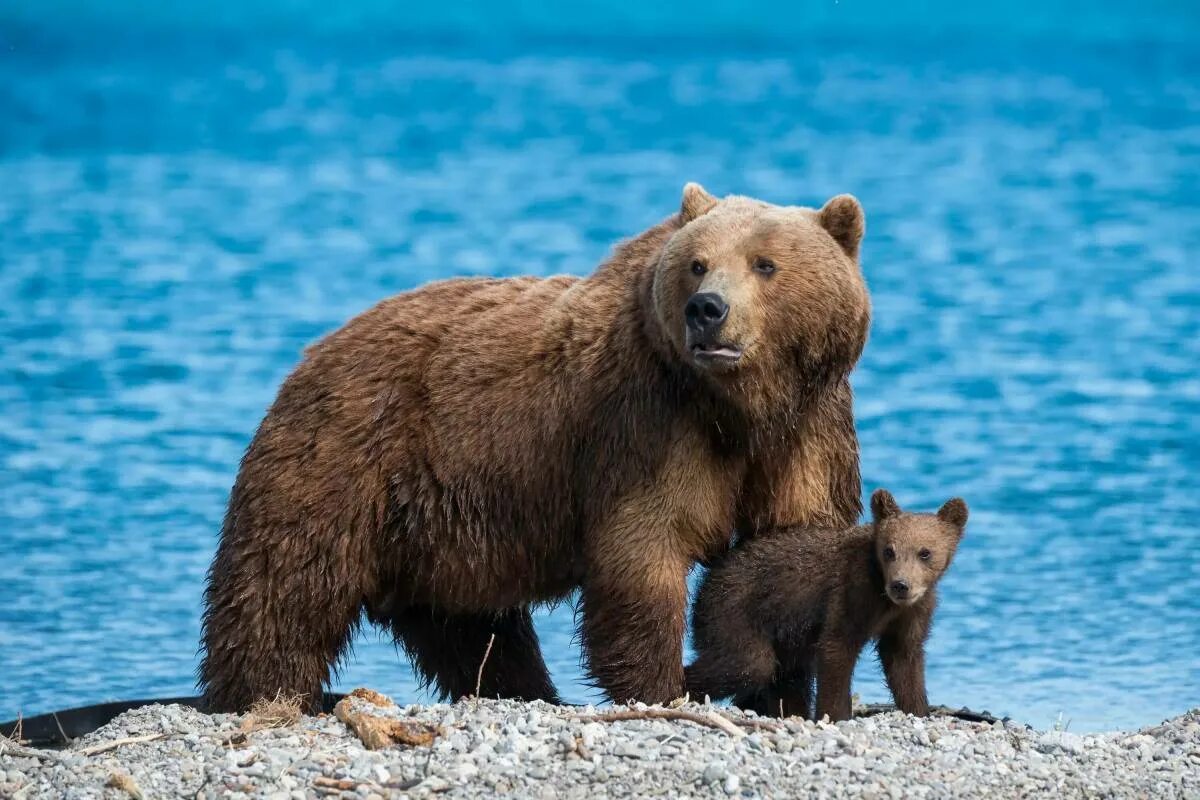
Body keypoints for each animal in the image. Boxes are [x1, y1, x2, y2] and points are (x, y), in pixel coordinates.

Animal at [196, 183, 873, 714]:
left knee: (469, 627)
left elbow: (789, 547)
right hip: (343, 459)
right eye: (698, 264)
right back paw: (262, 693)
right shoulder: (647, 424)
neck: (740, 406)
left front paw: (783, 691)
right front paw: (661, 686)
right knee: (285, 589)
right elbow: (646, 550)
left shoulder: (810, 427)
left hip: (439, 526)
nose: (707, 310)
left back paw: (525, 691)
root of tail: (313, 354)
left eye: (765, 264)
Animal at [686, 491, 964, 724]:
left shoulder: (912, 612)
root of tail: (710, 574)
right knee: (747, 663)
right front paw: (836, 715)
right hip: (733, 608)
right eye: (889, 551)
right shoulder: (853, 593)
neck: (885, 599)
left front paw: (919, 710)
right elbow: (837, 649)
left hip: (785, 637)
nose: (900, 585)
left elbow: (904, 661)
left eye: (924, 552)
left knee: (786, 677)